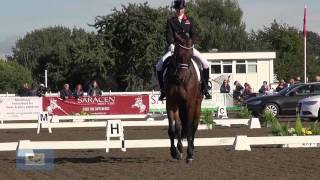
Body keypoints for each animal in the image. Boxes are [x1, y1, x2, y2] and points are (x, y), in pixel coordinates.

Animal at [165, 32, 202, 163]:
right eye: (178, 55)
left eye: (190, 56)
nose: (180, 78)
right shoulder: (171, 103)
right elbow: (172, 129)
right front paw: (174, 152)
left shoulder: (190, 104)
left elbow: (189, 128)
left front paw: (189, 154)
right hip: (179, 106)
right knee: (179, 126)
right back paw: (180, 149)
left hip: (197, 105)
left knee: (194, 126)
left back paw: (191, 150)